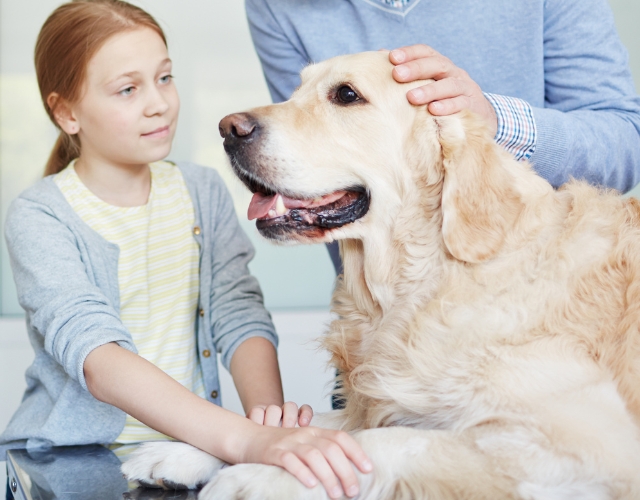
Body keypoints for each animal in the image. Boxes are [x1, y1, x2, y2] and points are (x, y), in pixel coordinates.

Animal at [121, 51, 640, 500]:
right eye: (294, 89)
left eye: (347, 95)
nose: (229, 129)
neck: (419, 287)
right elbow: (300, 424)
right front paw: (185, 452)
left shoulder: (587, 442)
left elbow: (383, 443)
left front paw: (258, 475)